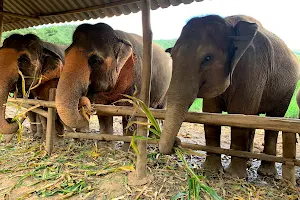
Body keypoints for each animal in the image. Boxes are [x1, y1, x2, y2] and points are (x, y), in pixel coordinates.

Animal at [158, 14, 298, 179]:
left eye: (207, 58)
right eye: (171, 56)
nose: (177, 142)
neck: (230, 25)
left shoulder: (253, 67)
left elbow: (239, 116)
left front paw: (234, 176)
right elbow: (211, 115)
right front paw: (211, 171)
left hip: (287, 90)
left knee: (274, 120)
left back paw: (266, 173)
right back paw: (248, 164)